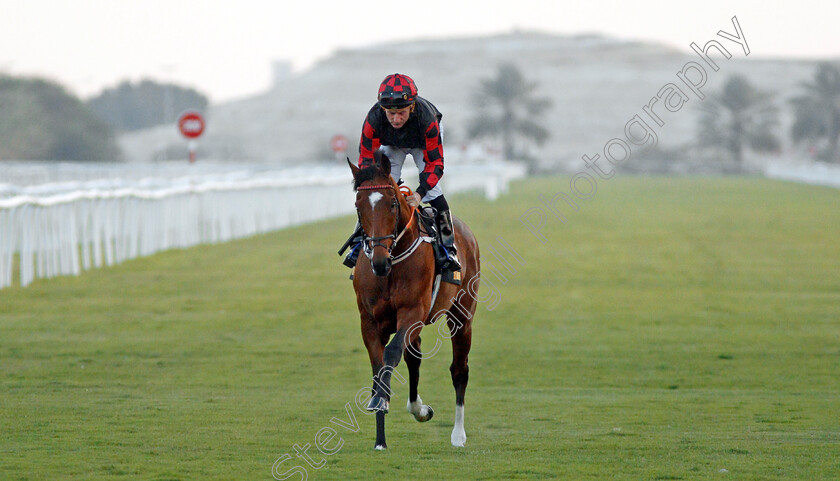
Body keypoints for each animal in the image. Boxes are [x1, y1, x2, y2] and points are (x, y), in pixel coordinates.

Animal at [348, 151, 480, 450]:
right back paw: (418, 408)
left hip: (462, 314)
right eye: (358, 205)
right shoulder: (370, 320)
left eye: (393, 203)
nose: (379, 261)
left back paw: (458, 434)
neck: (393, 263)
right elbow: (380, 366)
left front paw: (382, 400)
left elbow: (391, 354)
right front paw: (380, 437)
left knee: (459, 369)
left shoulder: (413, 312)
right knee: (414, 357)